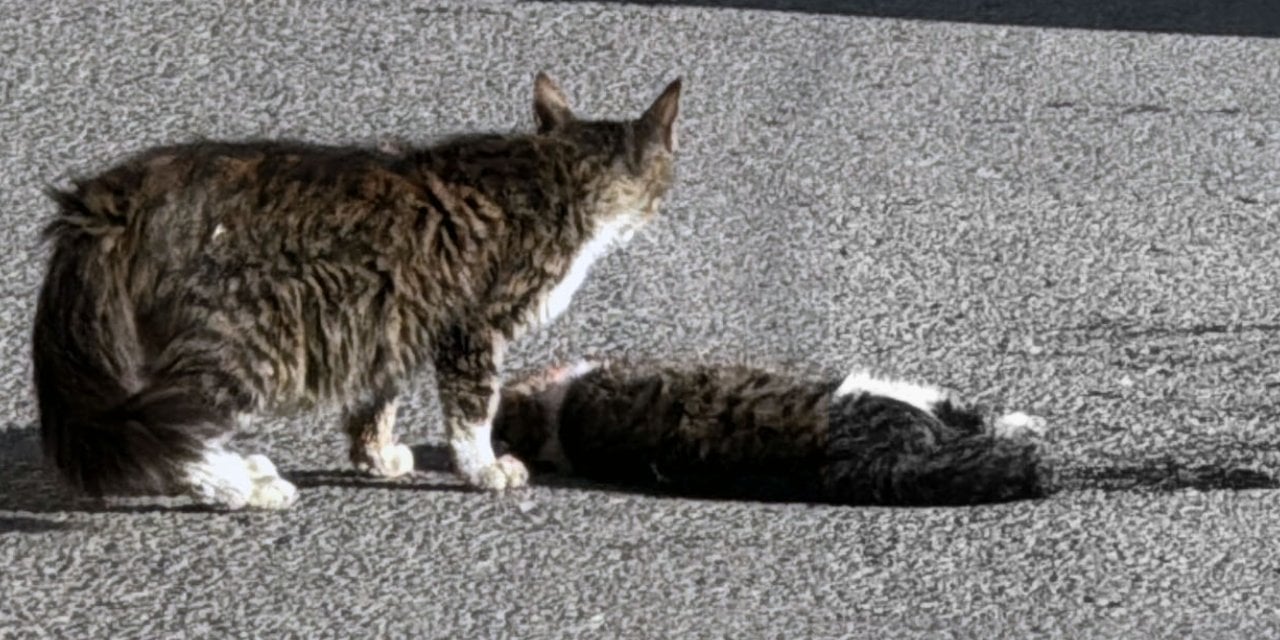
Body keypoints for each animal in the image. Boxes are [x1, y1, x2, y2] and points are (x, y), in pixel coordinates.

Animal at [35, 71, 686, 509]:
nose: (662, 206)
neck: (558, 174)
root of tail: (110, 199)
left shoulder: (392, 317)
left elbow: (377, 402)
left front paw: (376, 456)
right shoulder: (473, 327)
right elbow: (473, 410)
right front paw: (483, 469)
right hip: (249, 341)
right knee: (176, 437)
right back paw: (244, 487)